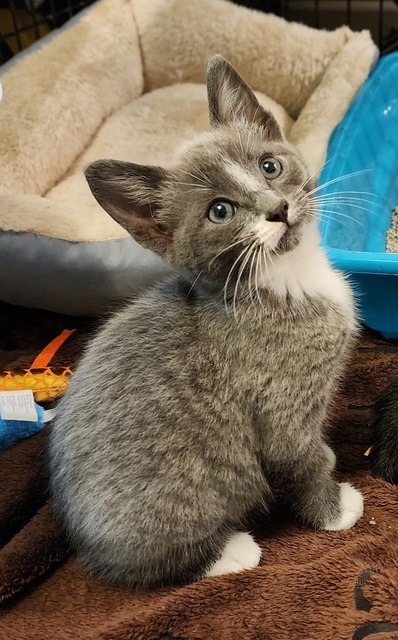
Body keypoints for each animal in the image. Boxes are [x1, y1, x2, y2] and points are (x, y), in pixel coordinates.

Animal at [49, 55, 364, 592]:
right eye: (221, 211)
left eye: (269, 165)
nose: (277, 209)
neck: (287, 278)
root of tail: (84, 548)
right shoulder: (282, 406)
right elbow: (302, 460)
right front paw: (335, 511)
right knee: (146, 566)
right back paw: (229, 553)